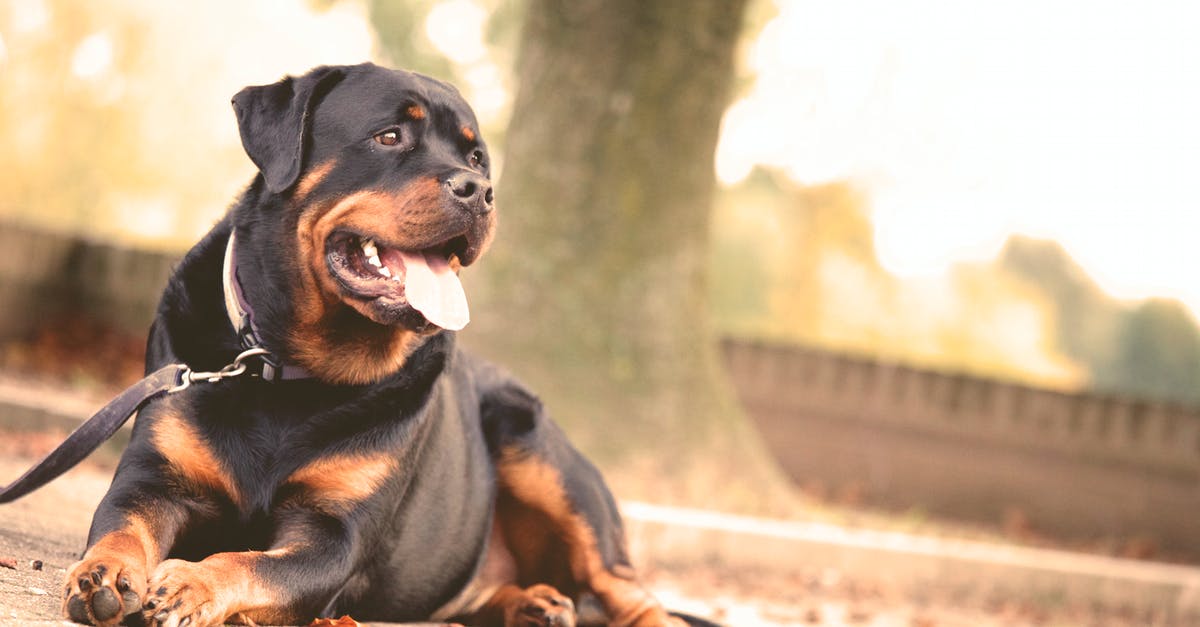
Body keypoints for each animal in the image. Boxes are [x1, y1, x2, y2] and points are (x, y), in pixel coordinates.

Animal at [60, 63, 700, 624]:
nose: (480, 189)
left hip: (542, 458)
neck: (288, 367)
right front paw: (104, 575)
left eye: (476, 158)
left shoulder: (335, 535)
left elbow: (252, 564)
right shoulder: (154, 476)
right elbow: (121, 523)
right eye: (389, 136)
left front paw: (192, 584)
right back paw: (534, 605)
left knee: (630, 594)